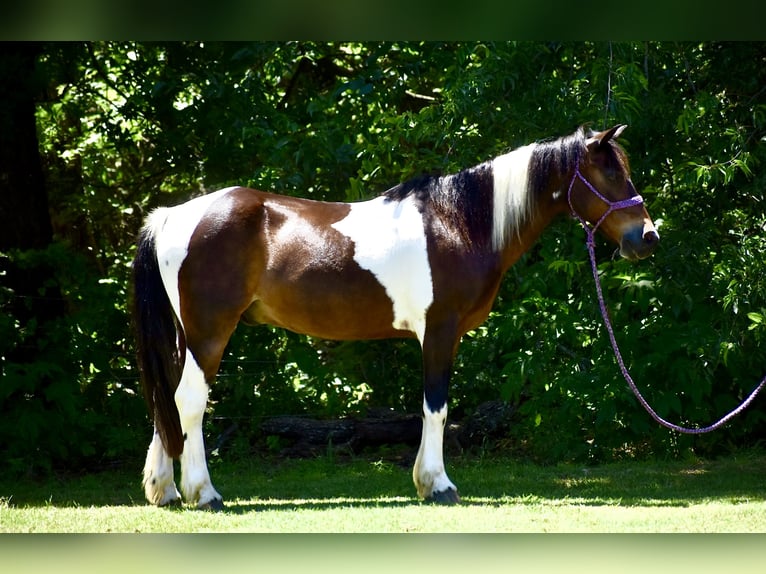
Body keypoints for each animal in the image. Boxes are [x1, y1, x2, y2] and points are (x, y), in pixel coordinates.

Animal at [132, 124, 659, 509]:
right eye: (610, 174)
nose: (648, 237)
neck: (460, 222)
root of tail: (174, 215)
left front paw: (427, 483)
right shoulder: (440, 331)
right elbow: (436, 407)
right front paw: (438, 485)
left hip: (184, 336)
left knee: (166, 400)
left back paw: (166, 490)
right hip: (210, 333)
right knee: (190, 400)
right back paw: (204, 494)